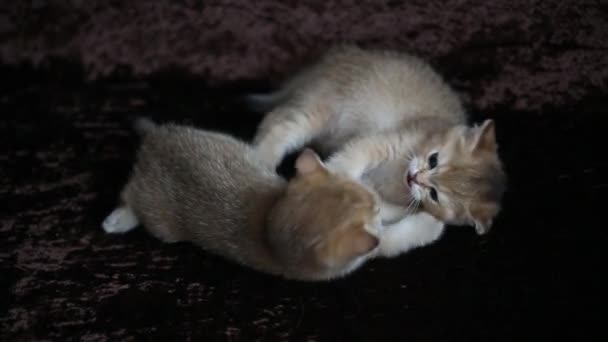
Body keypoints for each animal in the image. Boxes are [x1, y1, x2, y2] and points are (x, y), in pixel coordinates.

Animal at [102, 118, 382, 280]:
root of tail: (155, 138)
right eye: (375, 212)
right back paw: (117, 220)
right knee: (129, 195)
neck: (268, 222)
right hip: (160, 222)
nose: (377, 201)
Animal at [249, 46, 506, 243]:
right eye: (434, 159)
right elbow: (352, 158)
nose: (415, 177)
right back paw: (260, 160)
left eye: (434, 195)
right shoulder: (386, 141)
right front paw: (334, 175)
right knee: (278, 123)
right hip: (320, 110)